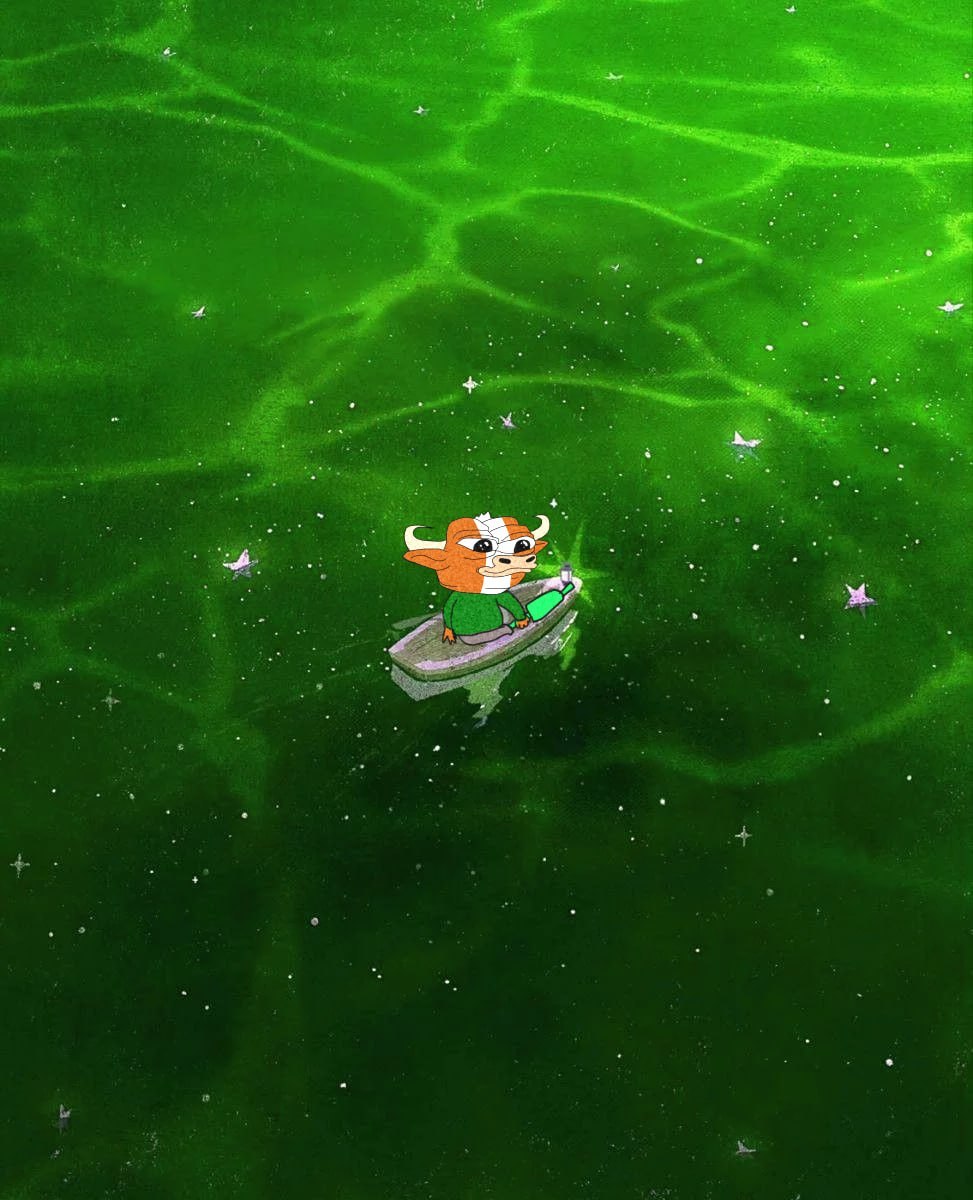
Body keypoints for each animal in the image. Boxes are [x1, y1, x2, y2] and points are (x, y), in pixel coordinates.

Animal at [403, 512, 549, 645]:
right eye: (483, 546)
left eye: (523, 545)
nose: (512, 560)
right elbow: (449, 608)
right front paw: (449, 633)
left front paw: (522, 620)